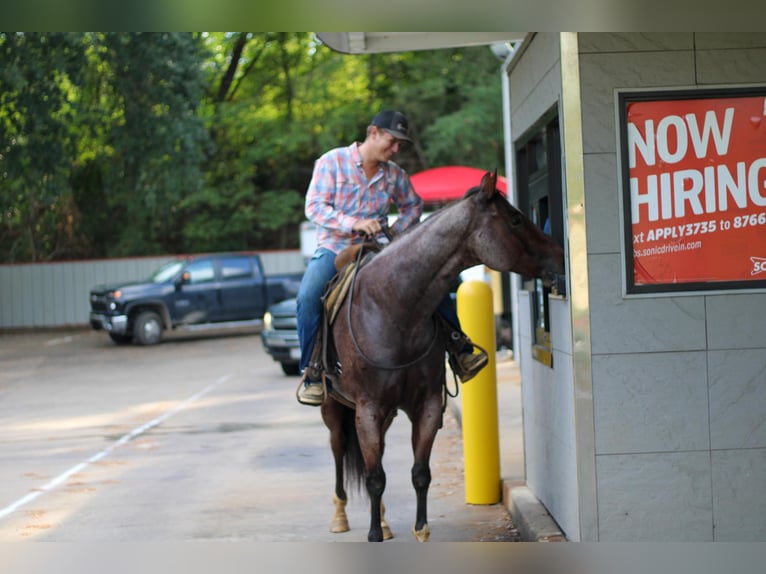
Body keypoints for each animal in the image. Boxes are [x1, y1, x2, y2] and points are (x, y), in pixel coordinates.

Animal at [316, 171, 564, 544]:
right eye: (515, 219)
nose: (561, 255)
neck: (393, 309)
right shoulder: (368, 408)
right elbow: (375, 477)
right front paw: (373, 534)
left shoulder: (428, 405)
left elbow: (419, 472)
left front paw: (419, 530)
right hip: (335, 409)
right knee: (337, 450)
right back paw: (340, 516)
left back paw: (385, 521)